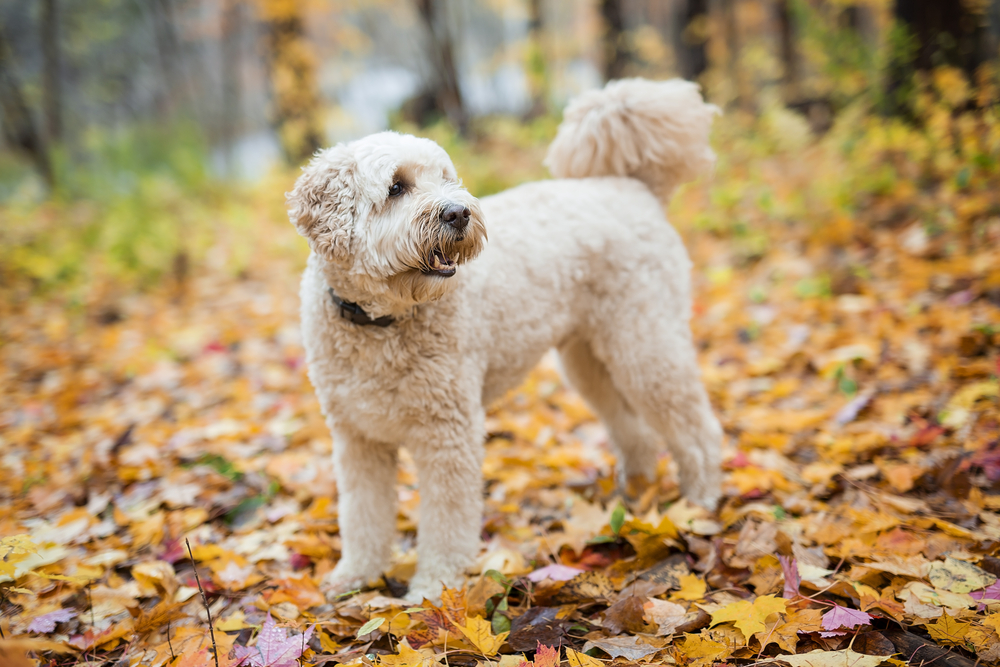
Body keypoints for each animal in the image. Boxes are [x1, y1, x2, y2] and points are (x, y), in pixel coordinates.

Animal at [286, 75, 724, 604]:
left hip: (645, 344)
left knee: (696, 428)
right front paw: (355, 577)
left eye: (447, 178)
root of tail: (633, 186)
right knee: (634, 430)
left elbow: (447, 522)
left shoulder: (449, 433)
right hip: (589, 359)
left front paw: (433, 590)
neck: (380, 323)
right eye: (396, 187)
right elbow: (362, 516)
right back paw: (633, 495)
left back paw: (699, 502)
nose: (458, 212)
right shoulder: (357, 439)